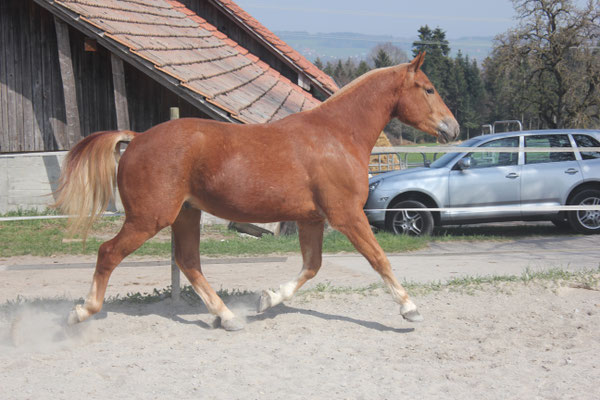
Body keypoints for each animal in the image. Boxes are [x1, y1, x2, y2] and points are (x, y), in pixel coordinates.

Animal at [56, 53, 460, 330]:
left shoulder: (312, 219)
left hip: (186, 214)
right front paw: (410, 309)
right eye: (428, 89)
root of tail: (136, 139)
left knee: (188, 262)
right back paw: (81, 312)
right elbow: (379, 259)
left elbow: (312, 266)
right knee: (109, 253)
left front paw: (267, 299)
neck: (337, 136)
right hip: (148, 218)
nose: (453, 128)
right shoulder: (346, 214)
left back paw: (228, 317)